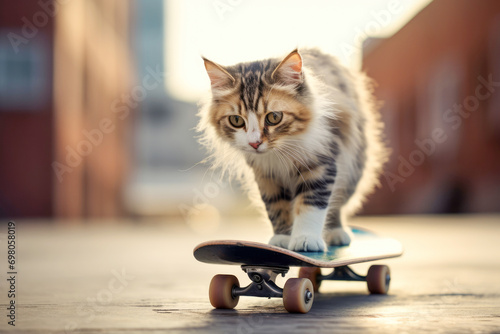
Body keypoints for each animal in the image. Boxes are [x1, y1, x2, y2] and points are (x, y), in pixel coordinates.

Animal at [196, 48, 386, 252]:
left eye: (274, 117)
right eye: (236, 120)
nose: (254, 143)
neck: (280, 155)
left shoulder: (320, 163)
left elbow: (311, 205)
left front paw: (306, 239)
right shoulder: (266, 175)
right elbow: (277, 206)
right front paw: (282, 238)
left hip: (352, 169)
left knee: (337, 204)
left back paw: (336, 232)